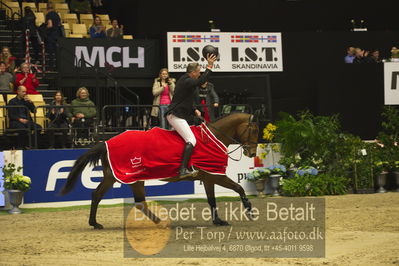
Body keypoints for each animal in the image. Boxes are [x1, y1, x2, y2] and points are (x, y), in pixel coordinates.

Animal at [58, 111, 260, 229]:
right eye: (254, 130)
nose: (251, 153)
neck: (212, 138)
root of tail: (106, 142)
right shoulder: (216, 175)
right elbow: (238, 188)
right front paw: (250, 211)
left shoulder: (209, 177)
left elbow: (212, 200)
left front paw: (218, 221)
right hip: (133, 178)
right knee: (138, 203)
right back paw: (161, 223)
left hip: (113, 177)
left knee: (98, 195)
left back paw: (95, 223)